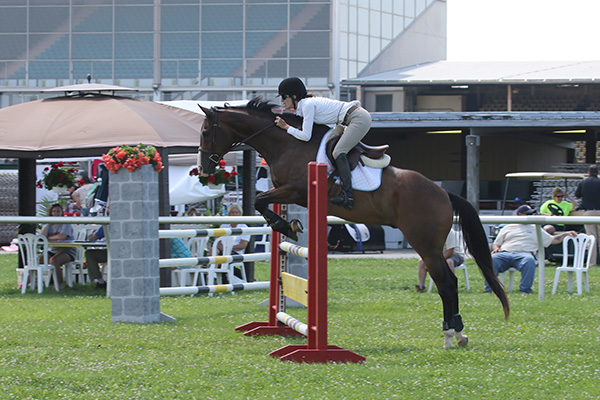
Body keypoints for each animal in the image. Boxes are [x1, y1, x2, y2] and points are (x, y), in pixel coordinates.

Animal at [199, 98, 508, 348]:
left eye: (204, 132)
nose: (204, 169)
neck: (287, 143)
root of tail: (444, 193)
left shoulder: (296, 190)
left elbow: (259, 199)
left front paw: (288, 227)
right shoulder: (287, 192)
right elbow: (262, 202)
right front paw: (287, 226)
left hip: (425, 244)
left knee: (446, 283)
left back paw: (450, 334)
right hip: (429, 245)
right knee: (449, 282)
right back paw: (458, 334)